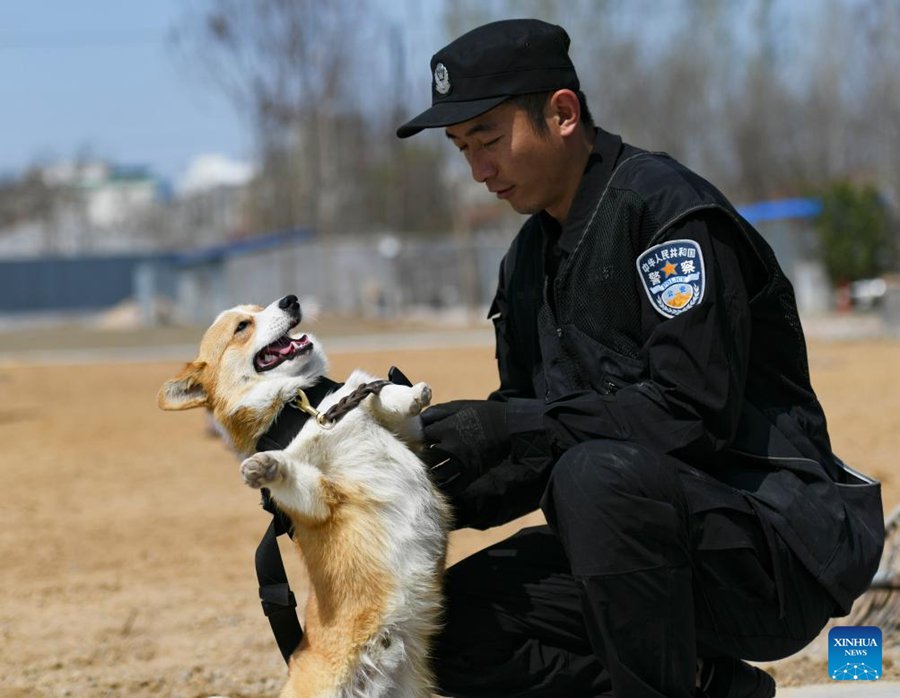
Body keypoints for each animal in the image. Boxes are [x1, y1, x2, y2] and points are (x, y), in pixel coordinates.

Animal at [157, 294, 450, 696]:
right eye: (242, 326)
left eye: (258, 308)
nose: (290, 300)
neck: (304, 406)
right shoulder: (320, 503)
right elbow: (296, 478)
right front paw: (266, 467)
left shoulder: (408, 435)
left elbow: (381, 398)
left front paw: (408, 393)